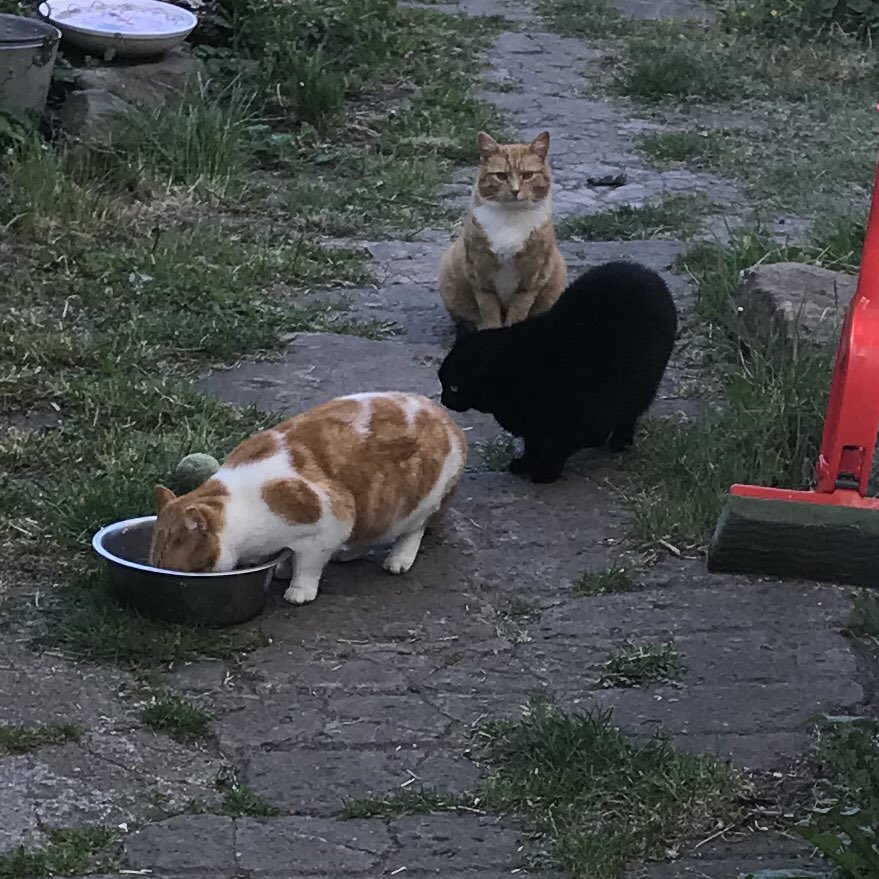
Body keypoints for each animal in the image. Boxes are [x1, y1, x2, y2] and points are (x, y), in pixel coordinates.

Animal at [151, 392, 468, 604]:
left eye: (168, 568)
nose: (159, 573)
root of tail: (449, 421)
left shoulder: (328, 524)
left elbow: (307, 567)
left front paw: (298, 590)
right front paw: (281, 567)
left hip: (420, 503)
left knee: (413, 531)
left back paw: (398, 559)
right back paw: (350, 552)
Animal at [440, 130, 572, 334]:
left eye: (528, 175)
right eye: (501, 176)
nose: (515, 191)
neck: (510, 219)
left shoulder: (531, 279)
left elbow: (518, 312)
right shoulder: (480, 277)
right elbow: (490, 312)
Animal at [440, 262, 680, 484]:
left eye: (454, 386)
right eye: (441, 380)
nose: (443, 400)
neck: (517, 370)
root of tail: (645, 271)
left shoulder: (581, 420)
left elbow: (558, 447)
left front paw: (545, 472)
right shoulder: (532, 423)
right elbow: (532, 444)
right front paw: (525, 464)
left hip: (641, 384)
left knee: (628, 413)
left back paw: (620, 442)